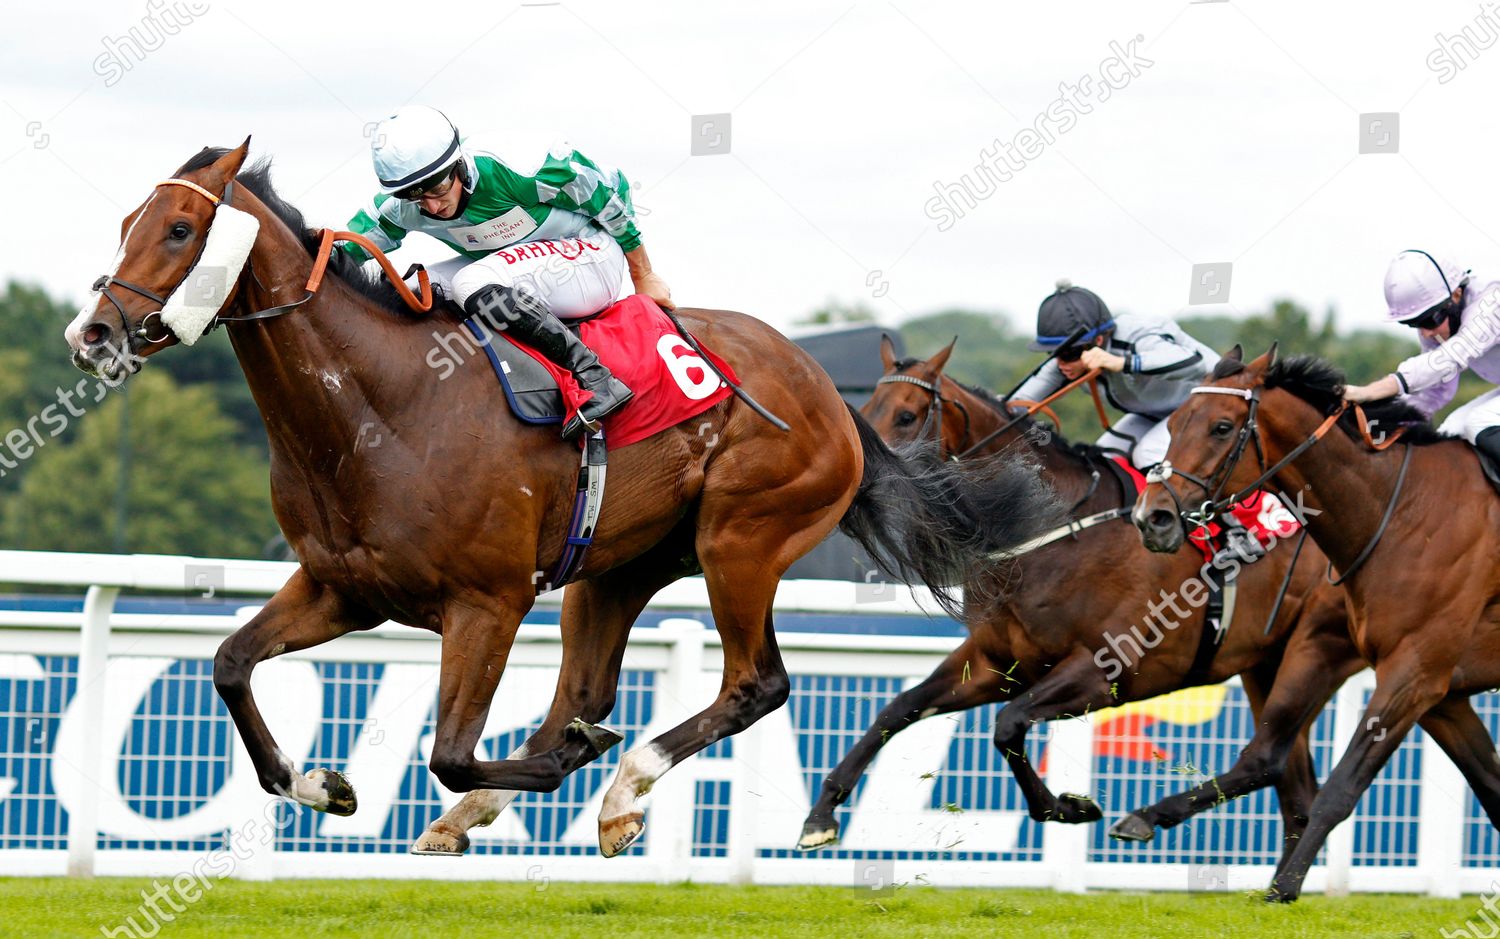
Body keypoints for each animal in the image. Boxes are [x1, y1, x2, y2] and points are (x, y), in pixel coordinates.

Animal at [61, 141, 1056, 858]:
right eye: (125, 222)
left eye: (181, 228)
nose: (93, 332)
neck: (379, 407)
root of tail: (829, 393)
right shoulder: (342, 587)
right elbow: (230, 664)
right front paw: (324, 786)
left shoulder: (487, 601)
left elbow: (449, 750)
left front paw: (572, 760)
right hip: (618, 566)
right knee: (586, 681)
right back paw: (523, 798)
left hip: (741, 539)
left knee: (756, 682)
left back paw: (619, 788)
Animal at [804, 337, 1368, 864]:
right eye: (868, 408)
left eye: (906, 415)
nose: (861, 475)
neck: (1052, 531)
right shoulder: (996, 661)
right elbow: (899, 709)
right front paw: (821, 816)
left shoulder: (1105, 669)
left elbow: (1008, 725)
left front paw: (1069, 808)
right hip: (1266, 664)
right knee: (1291, 783)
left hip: (1318, 652)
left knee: (1274, 764)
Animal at [1134, 343, 1500, 900]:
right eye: (1174, 423)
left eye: (1221, 427)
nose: (1151, 518)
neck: (1405, 513)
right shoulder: (1443, 695)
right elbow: (1494, 788)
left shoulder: (1414, 674)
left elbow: (1341, 788)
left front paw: (1284, 887)